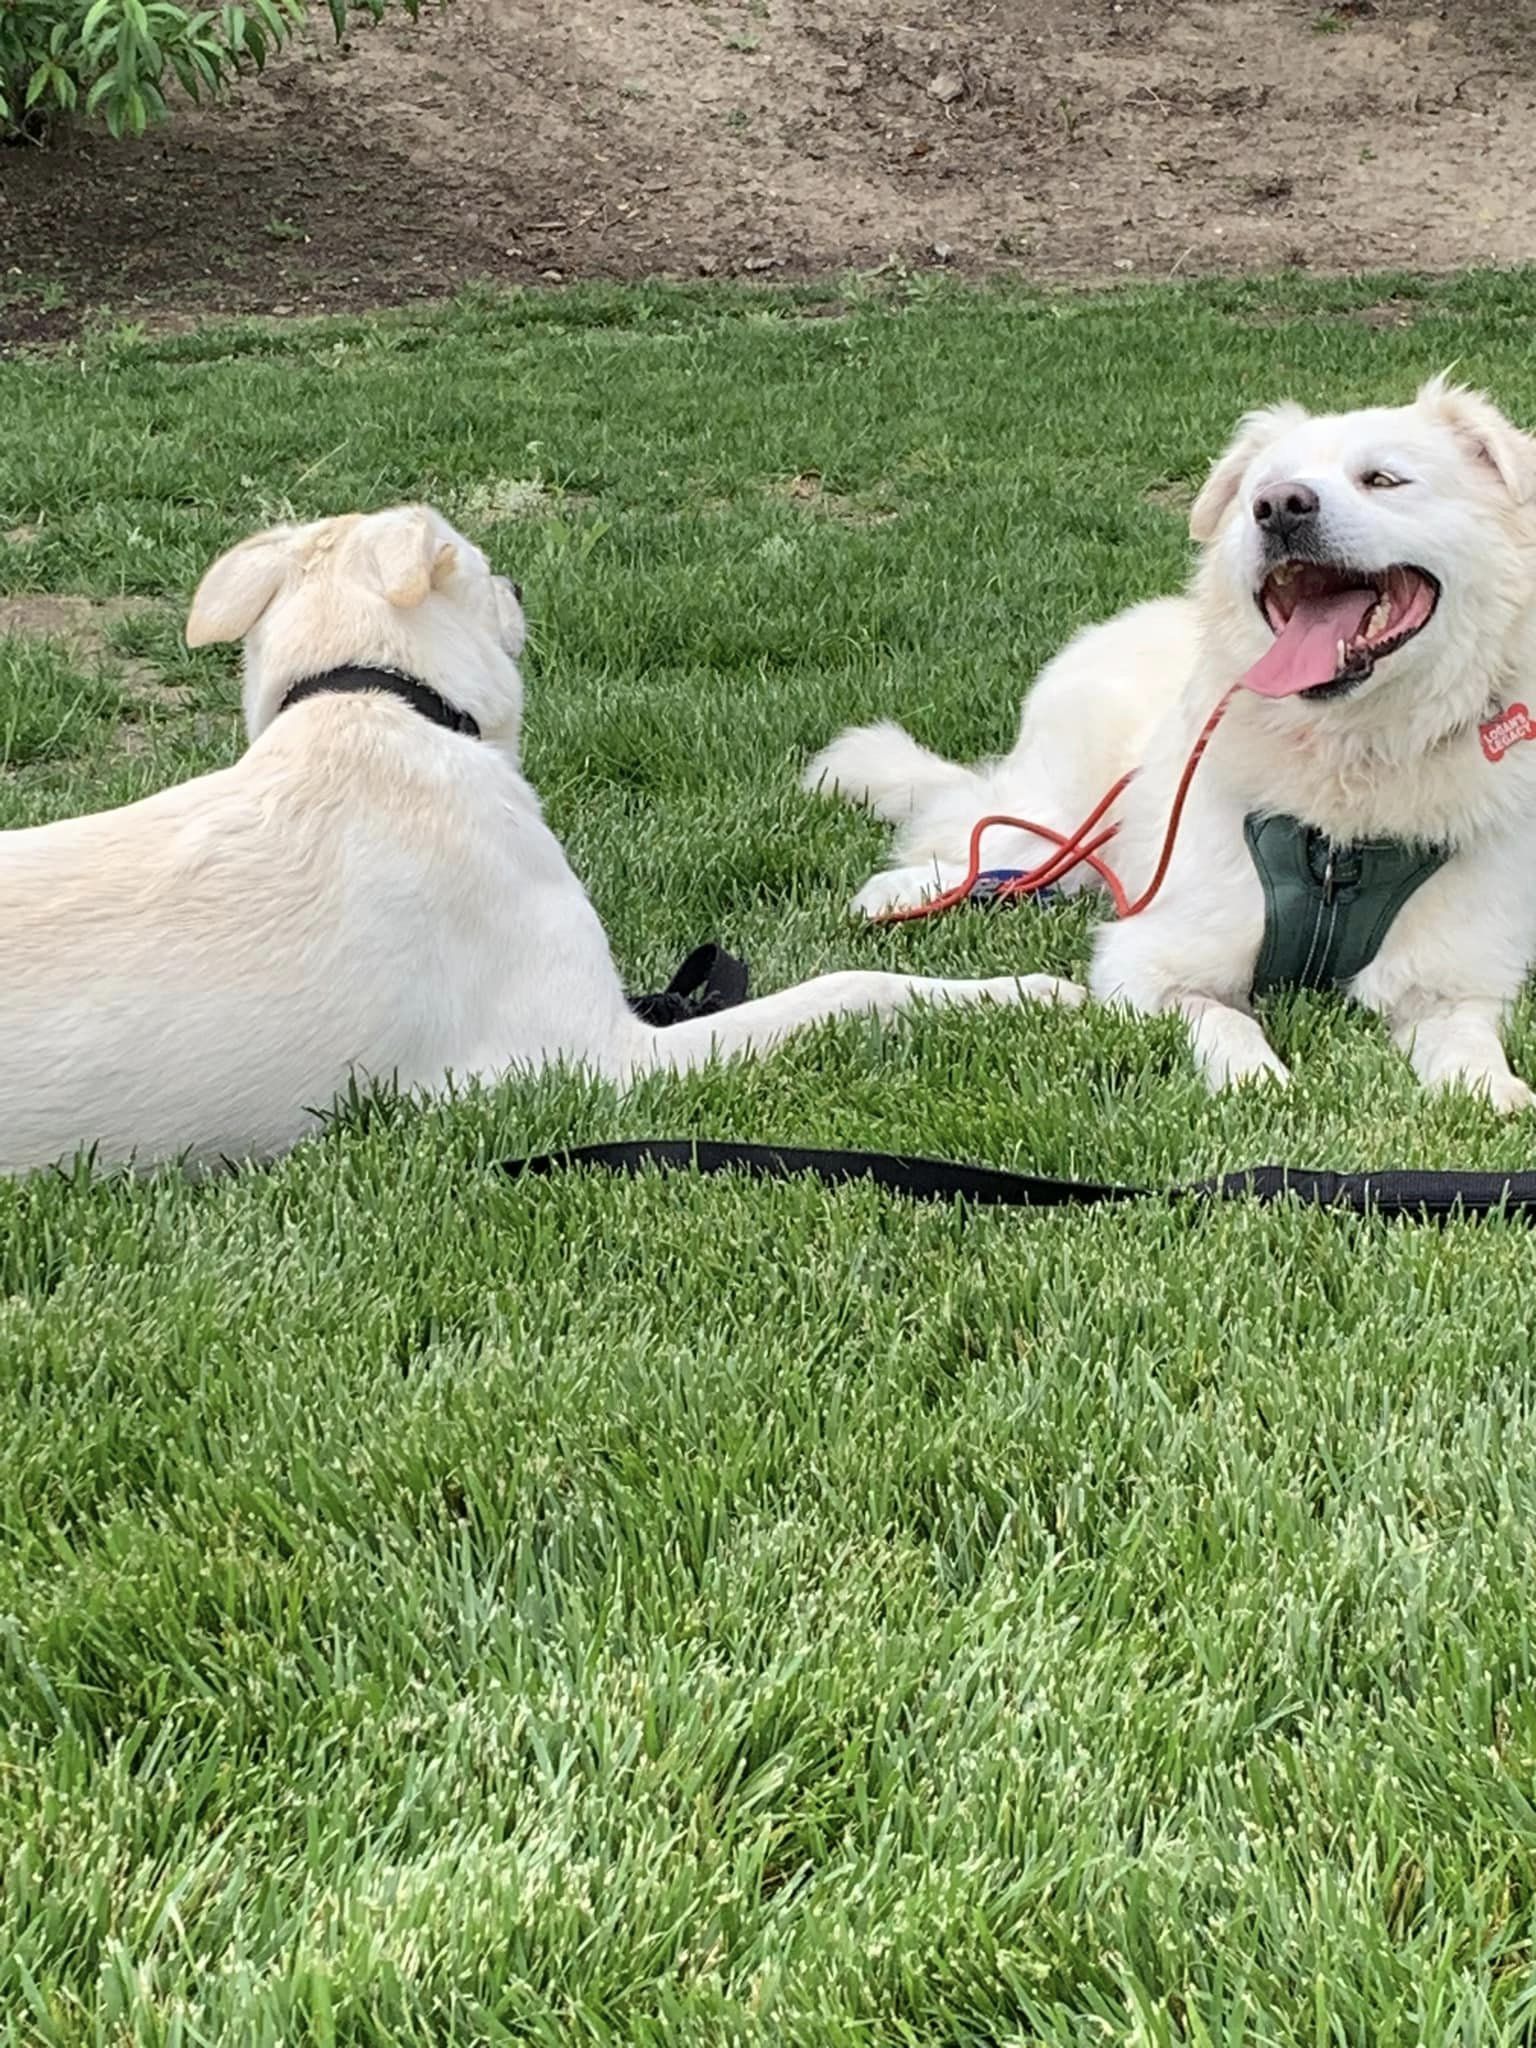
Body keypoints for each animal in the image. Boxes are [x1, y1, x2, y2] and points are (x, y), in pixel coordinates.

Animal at [0, 509, 1081, 1179]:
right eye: (483, 568)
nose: (519, 580)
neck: (377, 707)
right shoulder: (602, 1055)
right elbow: (848, 987)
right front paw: (1032, 993)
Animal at [806, 376, 1536, 1114]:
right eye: (1260, 493)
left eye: (1383, 480)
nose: (1280, 507)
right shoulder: (1149, 961)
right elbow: (1225, 1019)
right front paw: (1255, 1079)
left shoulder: (1458, 980)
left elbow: (1467, 1043)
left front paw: (1489, 1092)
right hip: (1068, 809)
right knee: (992, 838)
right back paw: (896, 891)